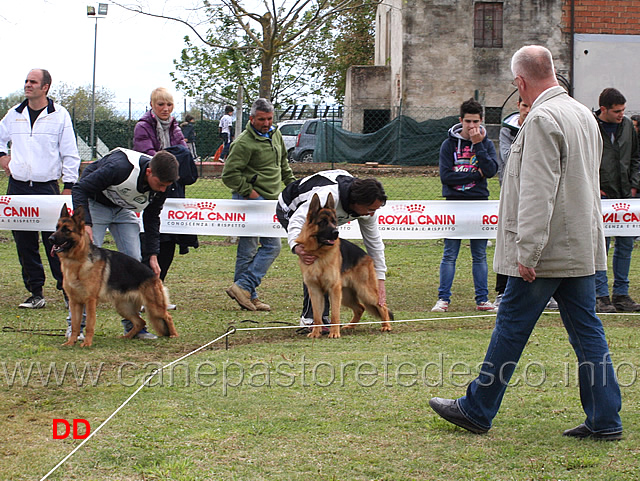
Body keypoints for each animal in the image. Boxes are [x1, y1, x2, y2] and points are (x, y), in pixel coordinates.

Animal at [47, 204, 179, 346]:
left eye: (67, 230)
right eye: (57, 228)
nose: (50, 239)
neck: (77, 261)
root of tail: (153, 274)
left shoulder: (90, 301)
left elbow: (89, 324)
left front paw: (87, 343)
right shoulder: (74, 302)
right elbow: (76, 325)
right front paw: (71, 342)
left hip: (153, 306)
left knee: (167, 316)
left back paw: (174, 335)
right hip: (124, 307)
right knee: (140, 322)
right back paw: (127, 336)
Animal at [294, 191, 392, 338]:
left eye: (334, 222)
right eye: (322, 222)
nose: (336, 233)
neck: (319, 253)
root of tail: (367, 256)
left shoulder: (333, 289)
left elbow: (335, 315)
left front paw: (334, 333)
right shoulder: (315, 291)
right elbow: (317, 316)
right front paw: (316, 333)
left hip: (363, 291)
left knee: (382, 305)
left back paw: (386, 326)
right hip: (346, 295)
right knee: (360, 307)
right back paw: (350, 326)